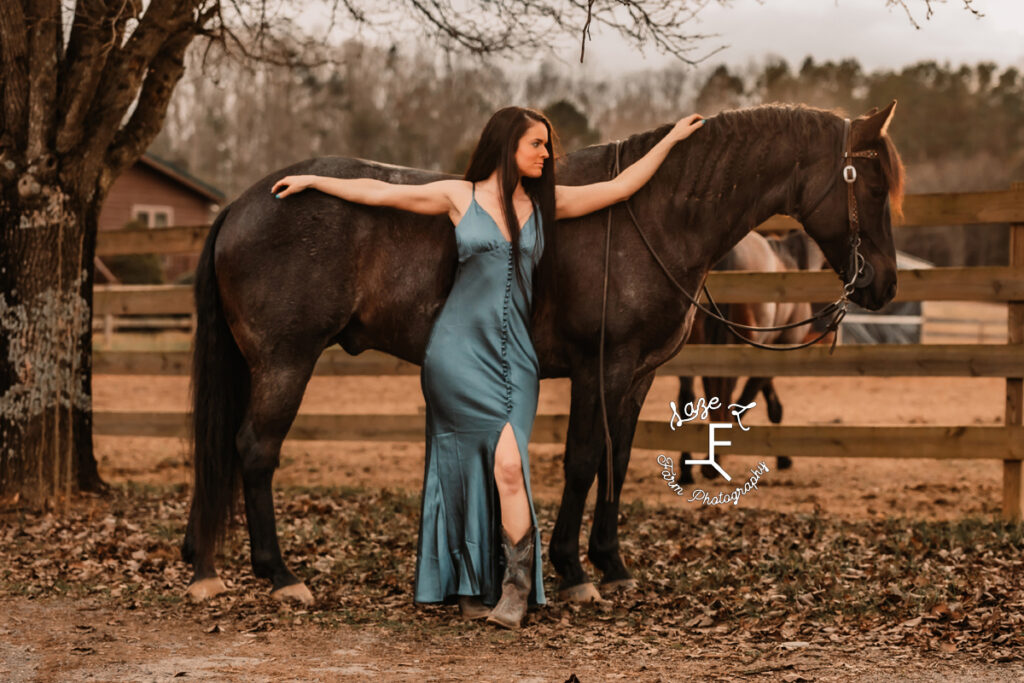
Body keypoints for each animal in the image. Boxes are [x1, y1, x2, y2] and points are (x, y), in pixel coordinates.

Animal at [182, 100, 905, 602]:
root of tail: (244, 204)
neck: (653, 216)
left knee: (223, 451)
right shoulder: (599, 367)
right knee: (254, 451)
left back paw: (203, 561)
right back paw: (278, 574)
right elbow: (584, 459)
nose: (883, 284)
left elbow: (616, 459)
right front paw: (574, 569)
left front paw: (612, 563)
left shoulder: (637, 375)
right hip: (285, 361)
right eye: (870, 188)